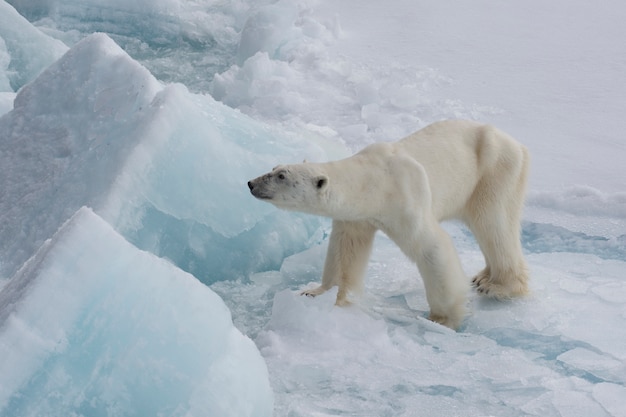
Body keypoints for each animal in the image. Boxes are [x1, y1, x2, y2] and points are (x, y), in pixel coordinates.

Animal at [246, 118, 528, 328]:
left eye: (282, 176)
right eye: (275, 167)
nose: (251, 183)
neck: (374, 181)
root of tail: (517, 144)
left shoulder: (404, 198)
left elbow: (431, 248)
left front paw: (442, 318)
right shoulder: (358, 216)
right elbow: (345, 250)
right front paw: (316, 293)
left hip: (494, 171)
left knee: (493, 223)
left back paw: (499, 286)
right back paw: (482, 277)